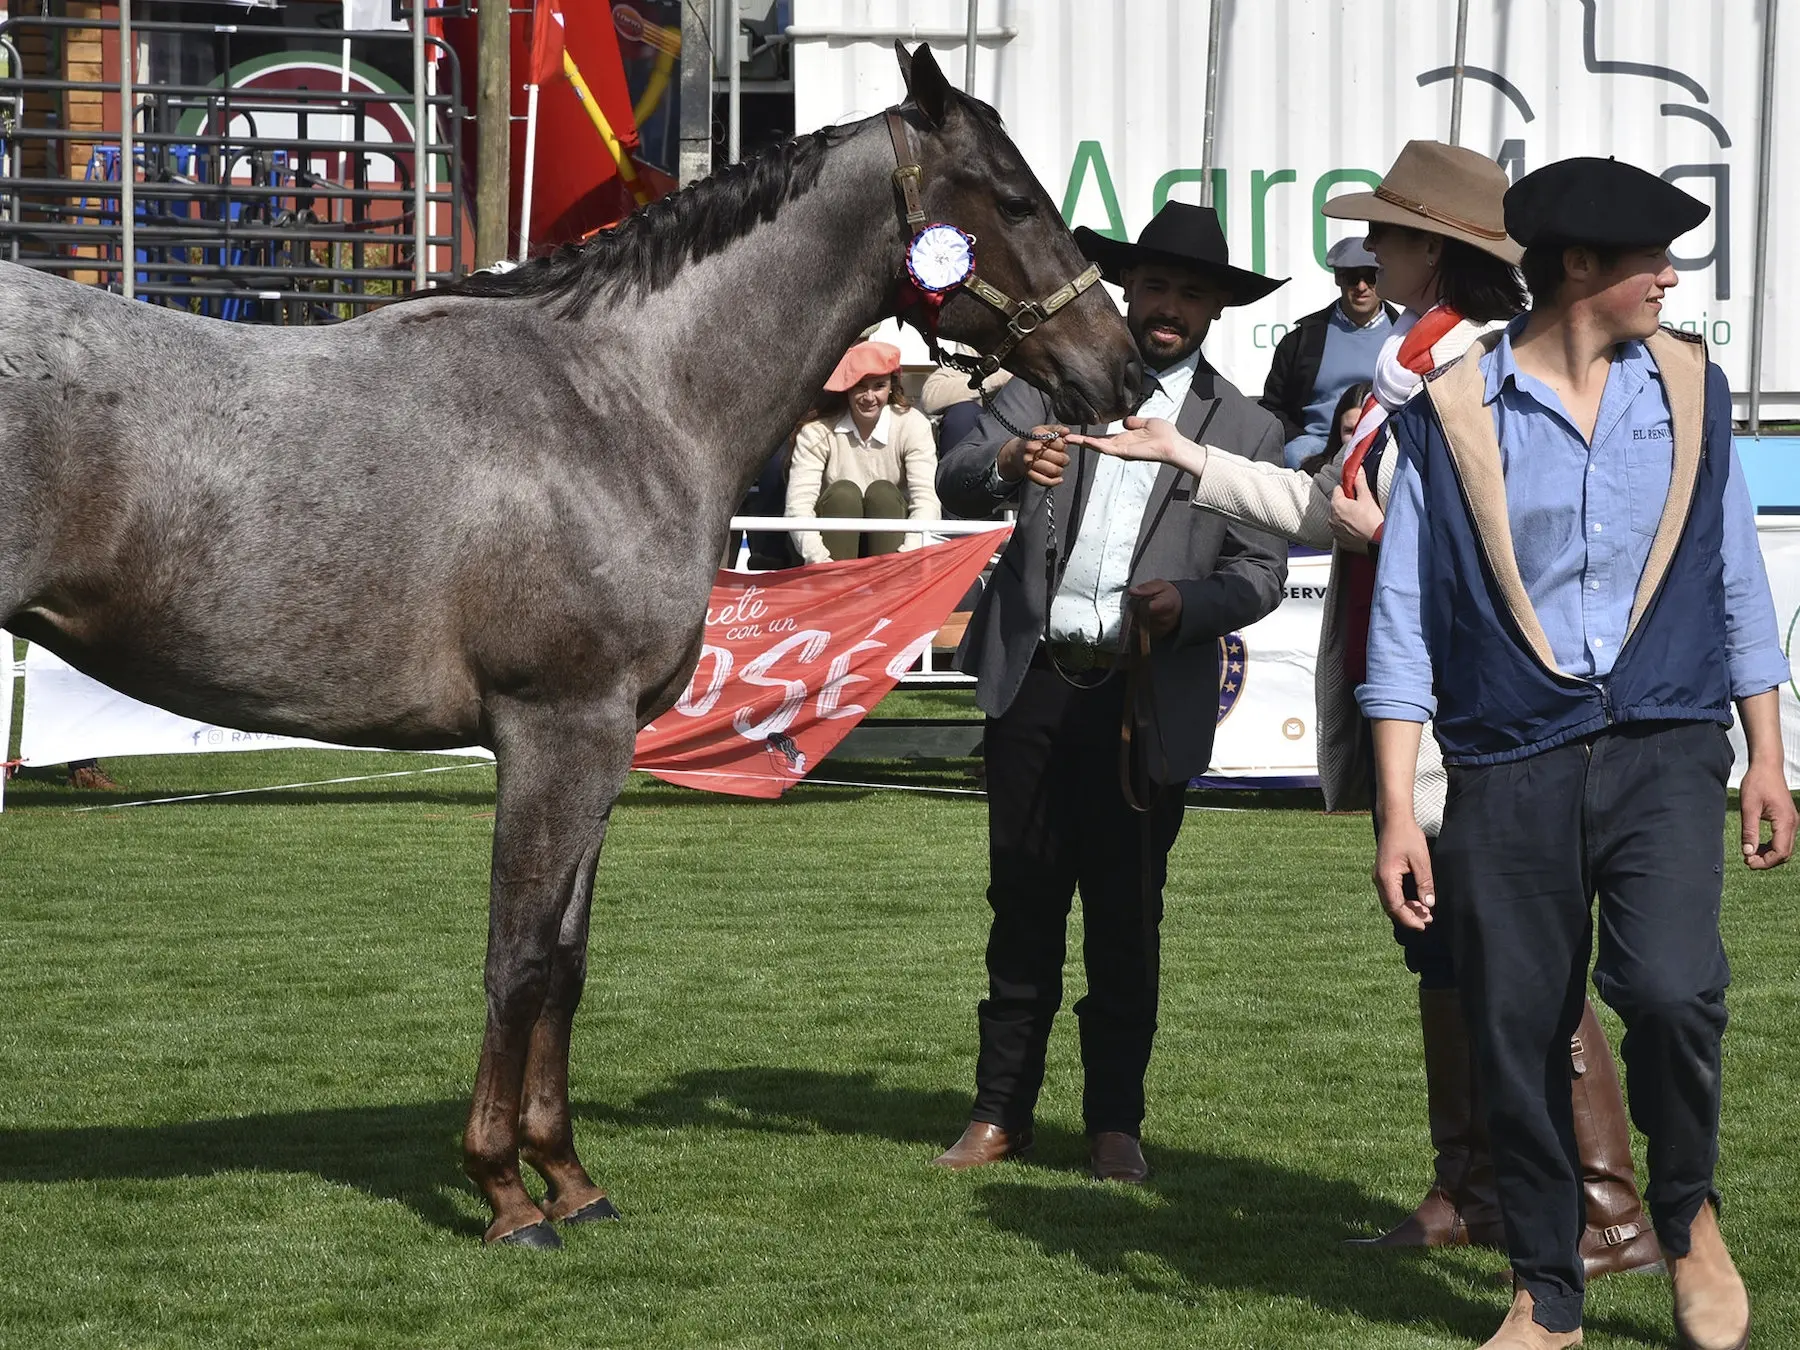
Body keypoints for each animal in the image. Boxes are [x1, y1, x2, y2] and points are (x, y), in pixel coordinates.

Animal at [0, 42, 1137, 1245]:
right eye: (1014, 200)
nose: (1123, 373)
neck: (618, 400)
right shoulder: (557, 731)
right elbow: (518, 961)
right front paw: (505, 1192)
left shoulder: (604, 743)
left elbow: (567, 966)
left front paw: (570, 1178)